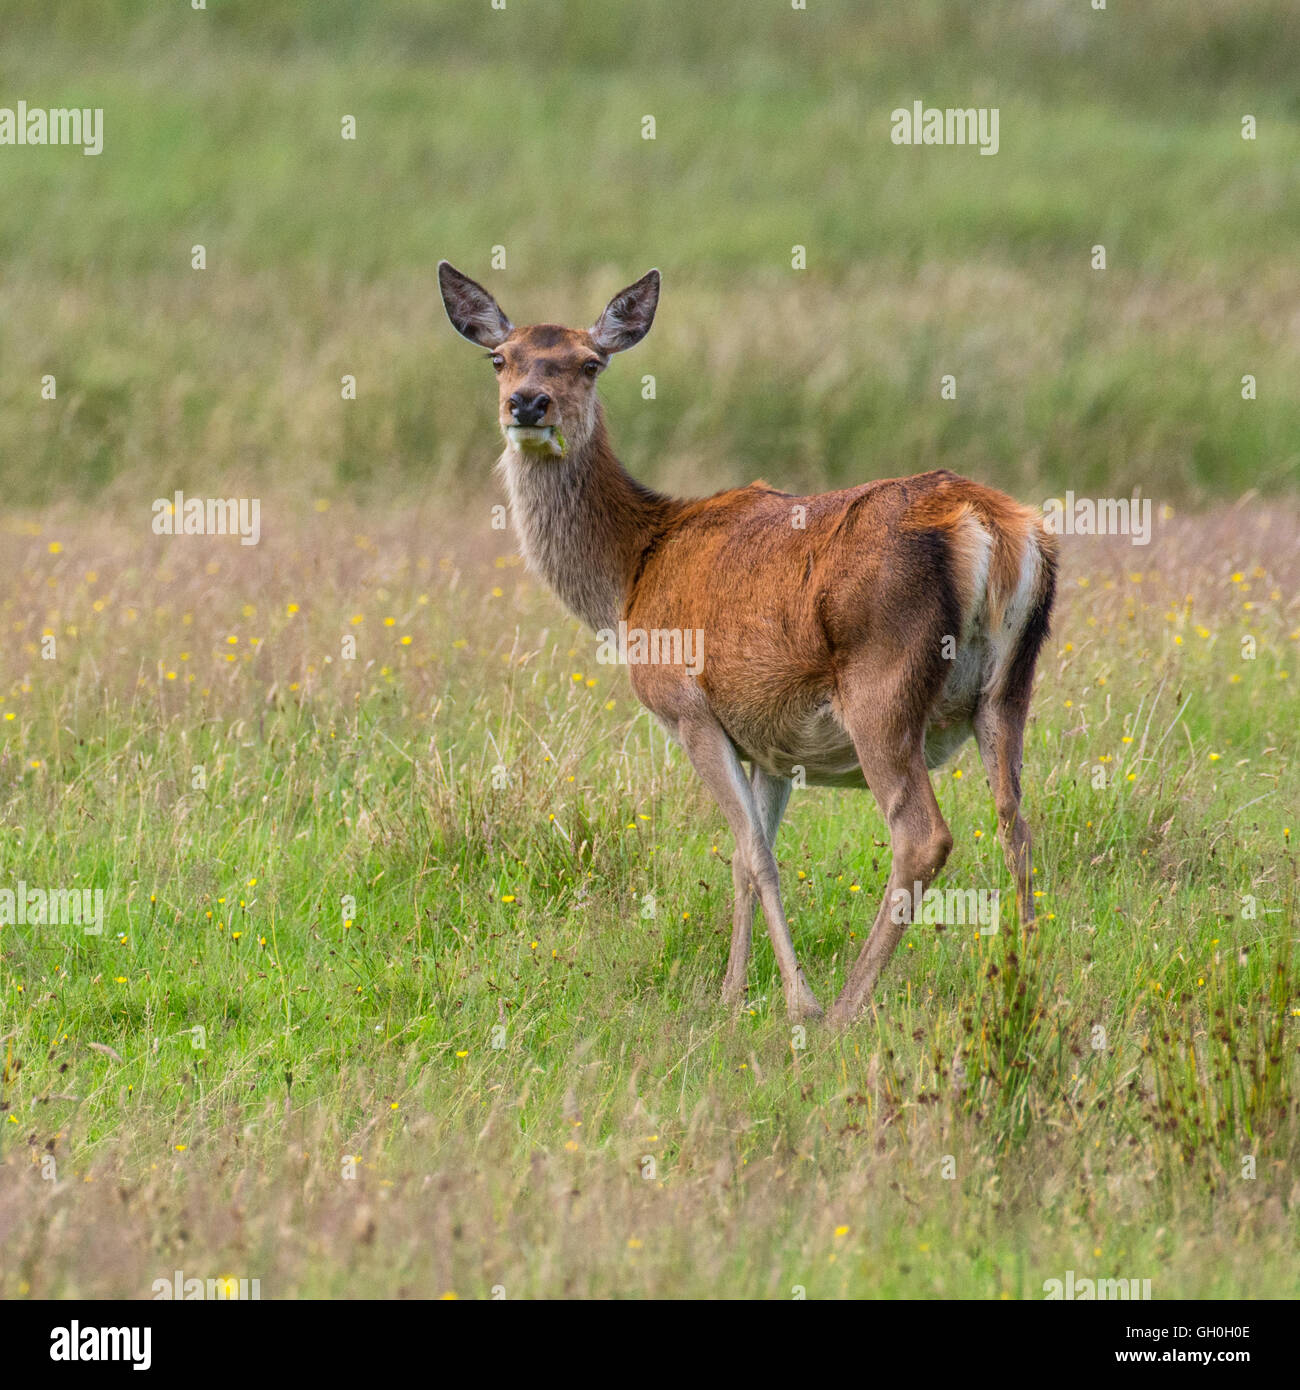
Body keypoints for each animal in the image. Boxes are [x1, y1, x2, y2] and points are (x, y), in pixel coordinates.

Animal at [438, 262, 1057, 1026]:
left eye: (590, 361)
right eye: (500, 358)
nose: (528, 404)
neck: (630, 577)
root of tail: (994, 527)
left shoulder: (687, 708)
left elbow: (754, 853)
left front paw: (795, 1000)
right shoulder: (772, 740)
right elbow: (744, 856)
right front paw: (733, 993)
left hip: (882, 685)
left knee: (923, 836)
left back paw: (846, 1007)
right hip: (1009, 689)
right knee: (1017, 823)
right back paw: (1027, 983)